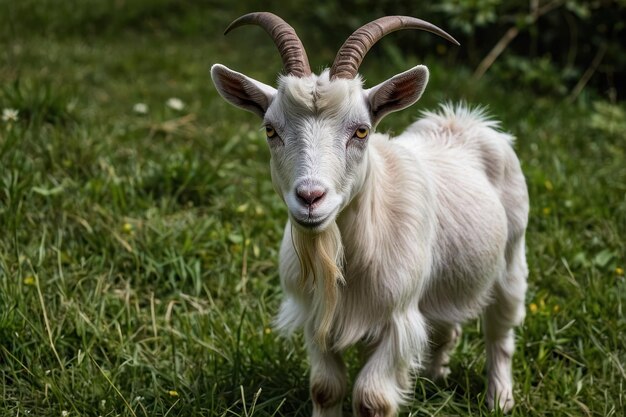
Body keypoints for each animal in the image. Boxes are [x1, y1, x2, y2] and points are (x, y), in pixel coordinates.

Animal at [210, 13, 528, 416]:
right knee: (446, 326)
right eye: (270, 130)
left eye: (361, 131)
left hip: (512, 256)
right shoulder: (316, 315)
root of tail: (464, 121)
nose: (311, 197)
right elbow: (325, 388)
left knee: (500, 331)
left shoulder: (396, 321)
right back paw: (434, 376)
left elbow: (371, 398)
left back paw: (499, 398)